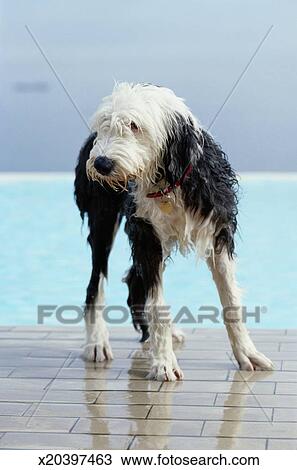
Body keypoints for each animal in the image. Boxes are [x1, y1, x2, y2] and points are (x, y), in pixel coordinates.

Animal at [74, 82, 272, 380]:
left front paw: (247, 353)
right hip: (103, 222)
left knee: (134, 280)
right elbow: (157, 304)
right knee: (95, 284)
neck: (168, 179)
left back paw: (149, 337)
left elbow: (231, 300)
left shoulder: (218, 232)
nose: (102, 164)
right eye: (106, 123)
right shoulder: (146, 236)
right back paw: (97, 342)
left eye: (134, 125)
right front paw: (163, 362)